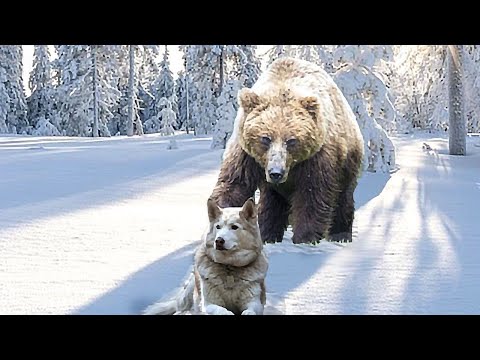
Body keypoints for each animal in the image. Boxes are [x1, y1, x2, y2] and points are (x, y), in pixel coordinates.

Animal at [142, 197, 270, 316]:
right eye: (218, 227)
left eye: (234, 227)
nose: (219, 241)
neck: (228, 267)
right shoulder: (209, 304)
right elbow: (223, 310)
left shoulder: (255, 303)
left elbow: (250, 311)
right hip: (189, 290)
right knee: (182, 308)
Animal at [210, 57, 364, 245]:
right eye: (265, 138)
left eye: (291, 140)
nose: (276, 172)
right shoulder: (246, 155)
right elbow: (235, 184)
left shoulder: (316, 159)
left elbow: (311, 196)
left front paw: (305, 237)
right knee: (271, 204)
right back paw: (268, 234)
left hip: (347, 162)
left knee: (343, 198)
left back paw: (340, 235)